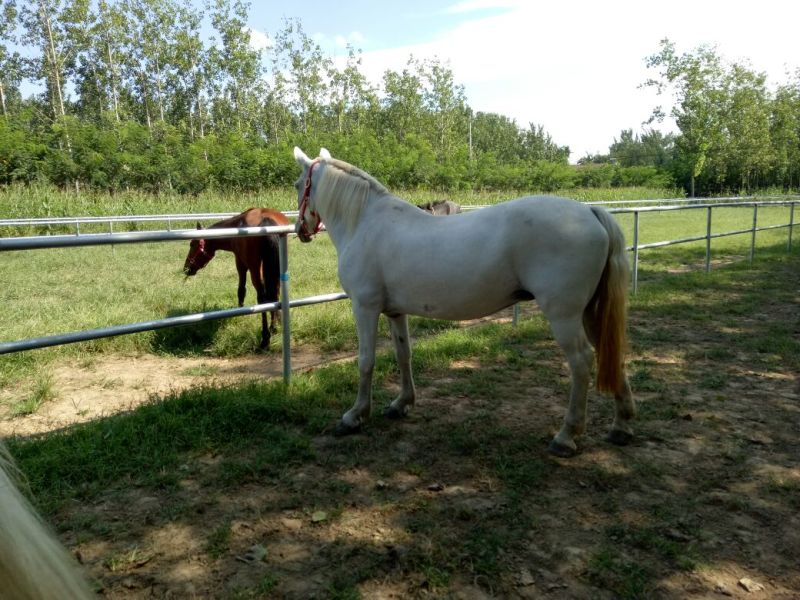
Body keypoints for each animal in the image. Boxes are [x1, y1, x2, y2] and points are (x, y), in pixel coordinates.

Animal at [183, 207, 290, 349]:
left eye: (192, 244)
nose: (186, 268)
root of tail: (266, 220)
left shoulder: (239, 262)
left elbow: (241, 289)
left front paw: (240, 310)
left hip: (255, 269)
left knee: (262, 298)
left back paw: (265, 339)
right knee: (275, 293)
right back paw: (273, 328)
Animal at [293, 147, 635, 457]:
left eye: (298, 185)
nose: (301, 230)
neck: (364, 223)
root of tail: (589, 212)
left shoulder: (364, 308)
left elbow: (366, 361)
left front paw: (354, 416)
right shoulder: (395, 312)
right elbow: (404, 355)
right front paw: (402, 403)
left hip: (564, 315)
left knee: (581, 361)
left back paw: (566, 436)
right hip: (590, 312)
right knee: (609, 351)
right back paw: (622, 426)